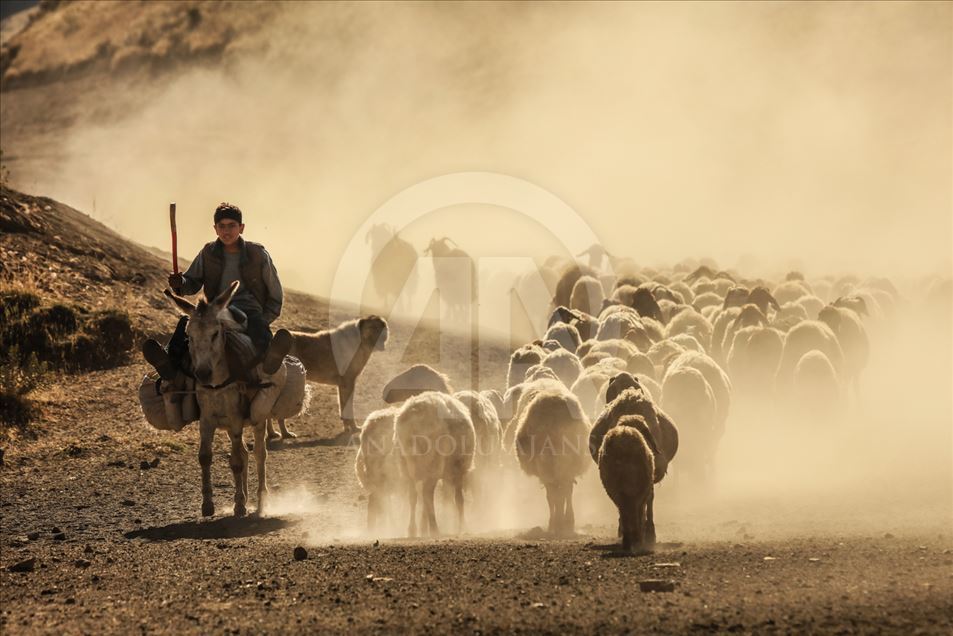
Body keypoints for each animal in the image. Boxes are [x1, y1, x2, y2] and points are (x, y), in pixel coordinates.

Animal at [392, 388, 474, 536]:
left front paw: (423, 528)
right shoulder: (458, 470)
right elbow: (459, 499)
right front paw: (462, 526)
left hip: (406, 465)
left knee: (413, 496)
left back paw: (412, 530)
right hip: (433, 463)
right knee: (426, 494)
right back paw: (435, 529)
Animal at [512, 388, 588, 536]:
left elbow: (552, 497)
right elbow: (562, 494)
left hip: (546, 465)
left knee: (556, 493)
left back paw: (557, 523)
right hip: (564, 462)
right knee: (565, 491)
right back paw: (565, 522)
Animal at [600, 414, 660, 556]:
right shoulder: (644, 491)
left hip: (617, 490)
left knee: (625, 512)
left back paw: (628, 542)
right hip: (639, 488)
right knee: (636, 513)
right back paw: (636, 540)